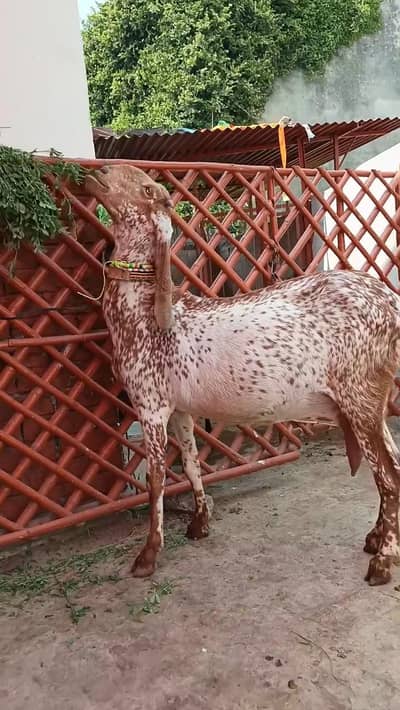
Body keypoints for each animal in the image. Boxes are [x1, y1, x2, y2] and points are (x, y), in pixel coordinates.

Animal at [85, 164, 400, 586]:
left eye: (148, 190)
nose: (99, 172)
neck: (144, 313)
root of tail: (389, 302)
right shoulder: (180, 408)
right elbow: (191, 464)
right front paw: (200, 523)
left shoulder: (150, 404)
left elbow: (156, 480)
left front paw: (148, 555)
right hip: (371, 402)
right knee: (392, 466)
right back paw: (375, 538)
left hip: (358, 394)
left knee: (389, 477)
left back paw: (382, 561)